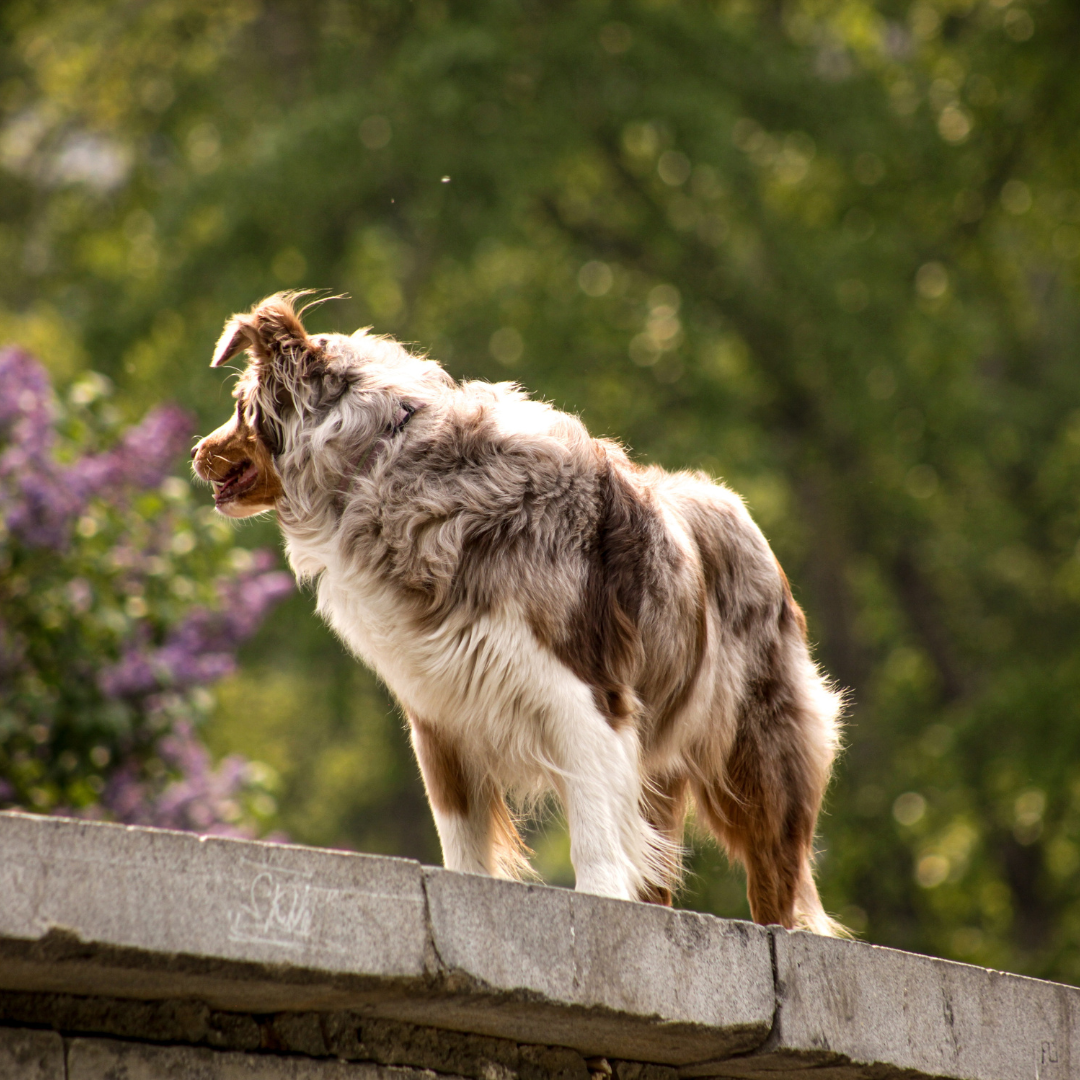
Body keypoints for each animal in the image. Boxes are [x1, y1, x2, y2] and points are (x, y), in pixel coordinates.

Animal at [198, 291, 846, 933]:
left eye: (239, 408)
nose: (196, 451)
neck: (385, 465)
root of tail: (740, 512)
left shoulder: (586, 698)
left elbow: (592, 827)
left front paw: (599, 899)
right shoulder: (439, 713)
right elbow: (460, 833)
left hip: (757, 752)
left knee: (774, 870)